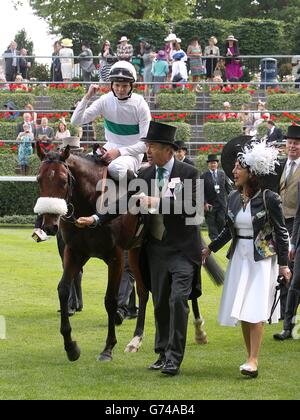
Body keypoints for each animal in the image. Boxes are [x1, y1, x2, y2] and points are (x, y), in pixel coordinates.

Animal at [34, 145, 149, 360]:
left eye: (63, 181)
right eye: (38, 179)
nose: (50, 225)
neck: (91, 202)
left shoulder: (116, 256)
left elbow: (110, 300)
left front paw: (108, 347)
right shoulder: (75, 252)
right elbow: (63, 289)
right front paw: (71, 346)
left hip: (137, 250)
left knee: (143, 289)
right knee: (143, 290)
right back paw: (135, 339)